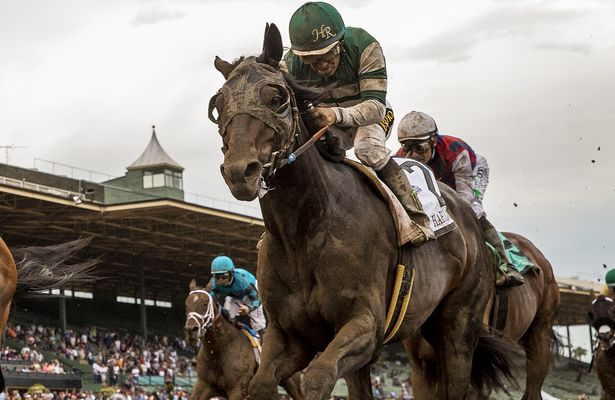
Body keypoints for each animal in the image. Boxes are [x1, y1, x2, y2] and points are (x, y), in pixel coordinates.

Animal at [211, 24, 520, 400]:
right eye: (218, 106)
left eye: (277, 99)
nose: (240, 172)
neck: (306, 228)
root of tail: (469, 218)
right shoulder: (290, 337)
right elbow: (261, 384)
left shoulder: (365, 327)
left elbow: (317, 378)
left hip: (459, 327)